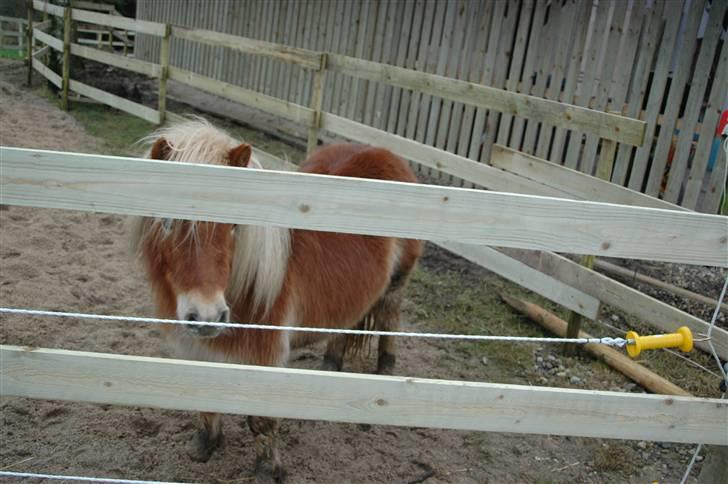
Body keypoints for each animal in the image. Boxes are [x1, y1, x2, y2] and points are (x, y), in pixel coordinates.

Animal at [132, 121, 420, 480]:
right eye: (167, 222)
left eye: (234, 225)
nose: (208, 315)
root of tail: (382, 152)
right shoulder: (198, 347)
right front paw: (205, 445)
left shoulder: (264, 356)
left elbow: (261, 420)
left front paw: (268, 470)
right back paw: (330, 367)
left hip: (396, 287)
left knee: (389, 326)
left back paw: (383, 379)